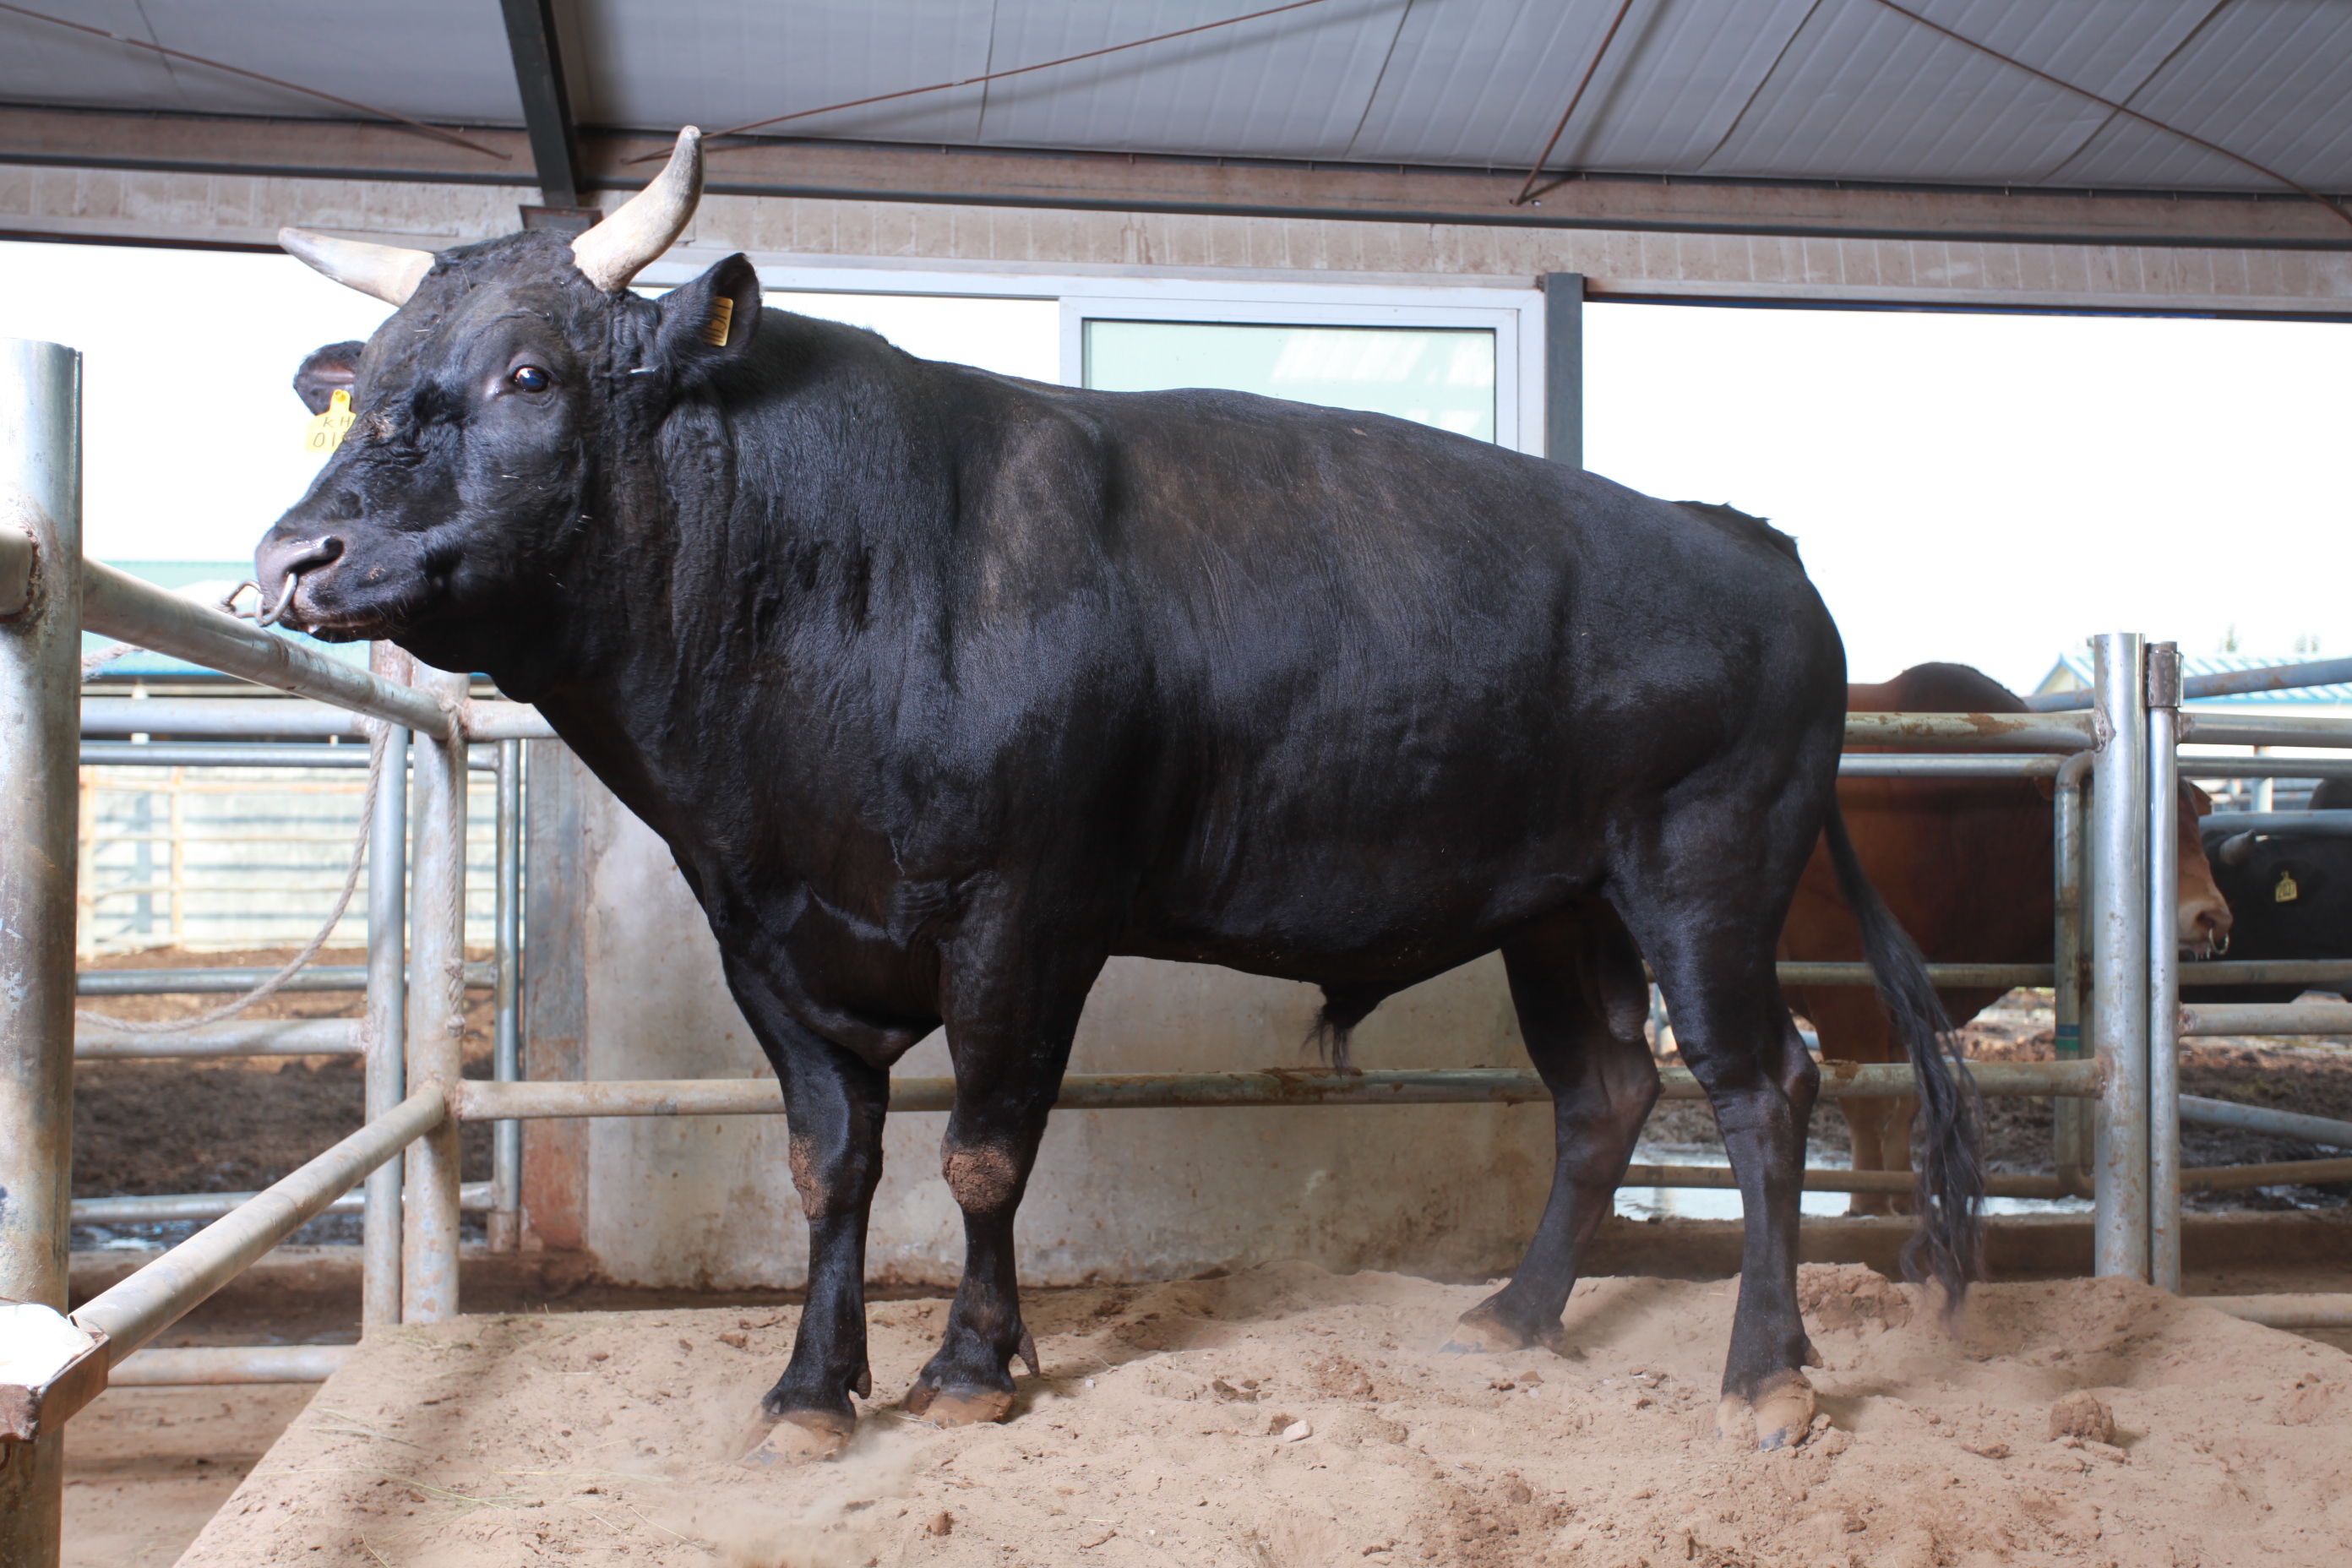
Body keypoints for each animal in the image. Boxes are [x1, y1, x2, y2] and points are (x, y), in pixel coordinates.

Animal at [257, 131, 1984, 1457]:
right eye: (363, 386)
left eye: (528, 372)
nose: (293, 553)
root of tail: (1744, 537)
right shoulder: (768, 938)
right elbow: (830, 1164)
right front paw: (813, 1390)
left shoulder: (1026, 916)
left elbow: (982, 1153)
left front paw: (969, 1370)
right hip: (1561, 905)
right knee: (1607, 1091)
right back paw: (1513, 1317)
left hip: (1706, 875)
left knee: (1764, 1090)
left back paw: (1764, 1377)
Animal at [1768, 662, 2230, 1212]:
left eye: (2194, 821)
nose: (2211, 915)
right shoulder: (1843, 984)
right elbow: (1867, 1101)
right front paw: (1868, 1208)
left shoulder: (1915, 1004)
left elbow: (1907, 1099)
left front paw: (1903, 1201)